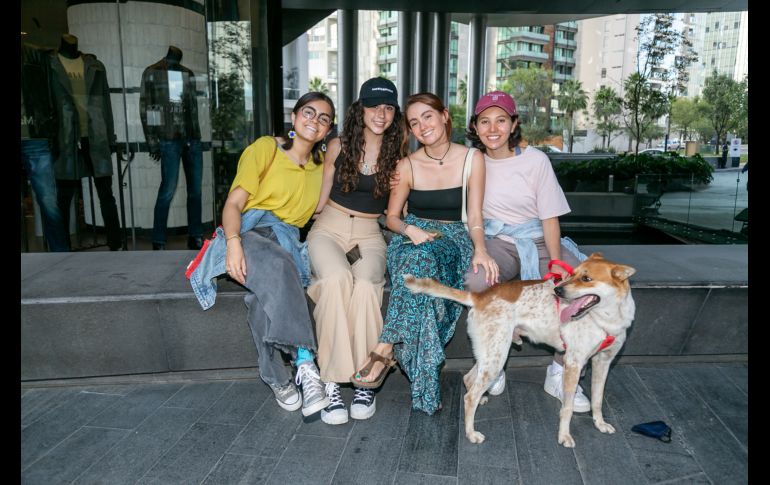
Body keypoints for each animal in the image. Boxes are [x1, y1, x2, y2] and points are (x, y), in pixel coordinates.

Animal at [404, 253, 632, 446]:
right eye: (573, 273)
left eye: (586, 278)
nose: (557, 291)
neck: (606, 318)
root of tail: (479, 296)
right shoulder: (574, 363)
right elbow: (566, 409)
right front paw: (564, 436)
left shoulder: (603, 362)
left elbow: (598, 399)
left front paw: (600, 424)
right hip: (496, 356)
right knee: (469, 398)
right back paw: (471, 433)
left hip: (489, 353)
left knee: (469, 379)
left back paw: (481, 398)